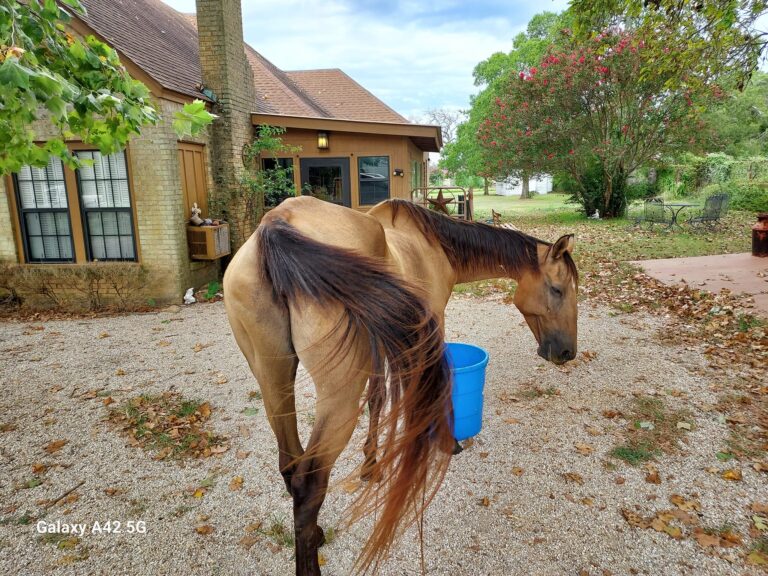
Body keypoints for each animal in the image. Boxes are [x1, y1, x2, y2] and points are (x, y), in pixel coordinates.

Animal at [222, 196, 576, 572]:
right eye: (557, 289)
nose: (567, 352)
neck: (435, 246)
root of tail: (275, 225)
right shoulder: (430, 327)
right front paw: (446, 442)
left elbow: (378, 400)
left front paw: (370, 465)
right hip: (338, 396)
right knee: (309, 482)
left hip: (273, 379)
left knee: (290, 464)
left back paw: (315, 533)